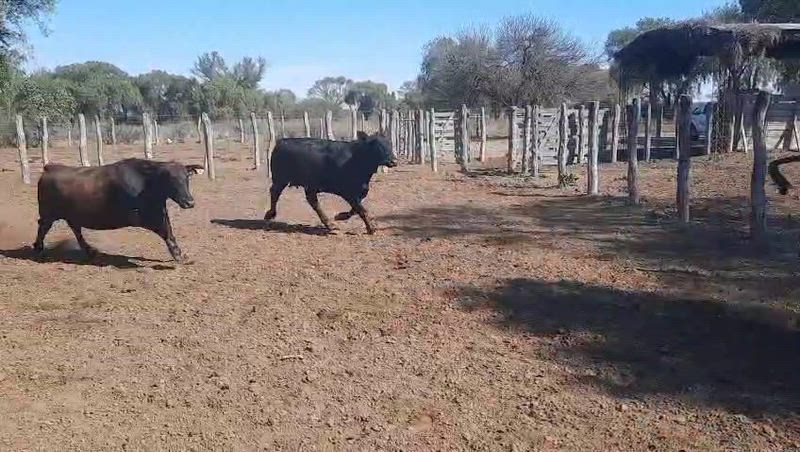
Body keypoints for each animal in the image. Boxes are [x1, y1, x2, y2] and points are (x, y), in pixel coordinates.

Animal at [33, 158, 204, 263]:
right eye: (170, 179)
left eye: (187, 177)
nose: (190, 202)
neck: (146, 182)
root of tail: (51, 167)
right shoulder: (146, 216)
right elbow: (166, 232)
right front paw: (178, 254)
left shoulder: (160, 211)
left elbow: (168, 230)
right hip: (48, 214)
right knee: (43, 227)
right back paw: (38, 250)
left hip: (71, 215)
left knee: (75, 229)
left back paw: (90, 251)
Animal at [264, 131, 396, 234]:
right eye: (377, 146)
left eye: (390, 144)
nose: (393, 161)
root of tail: (282, 141)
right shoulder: (348, 192)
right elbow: (361, 210)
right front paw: (371, 228)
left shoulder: (360, 191)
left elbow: (356, 208)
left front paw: (340, 216)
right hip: (280, 179)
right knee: (274, 193)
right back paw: (270, 214)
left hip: (309, 185)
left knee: (313, 201)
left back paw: (329, 224)